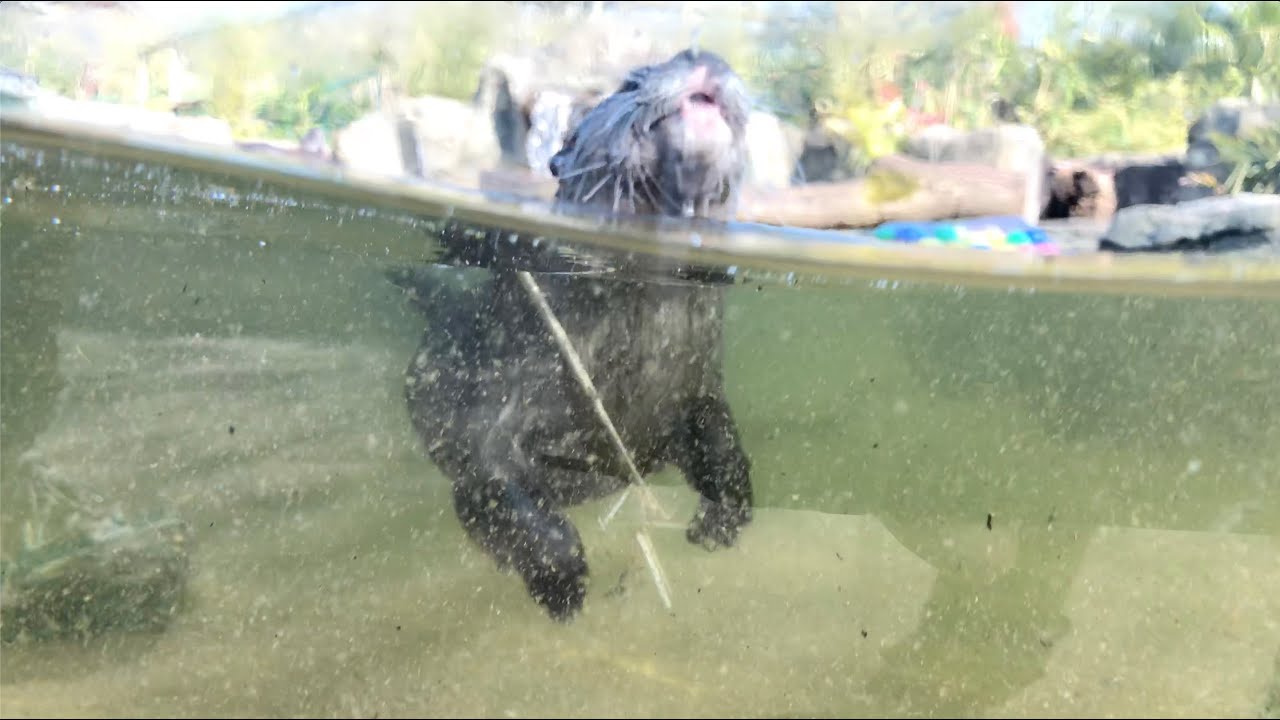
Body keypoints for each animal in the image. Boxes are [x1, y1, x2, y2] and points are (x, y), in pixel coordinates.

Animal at [398, 48, 755, 621]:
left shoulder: (695, 384)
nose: (700, 54)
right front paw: (562, 584)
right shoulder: (494, 403)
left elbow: (721, 441)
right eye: (629, 81)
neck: (627, 370)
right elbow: (496, 482)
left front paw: (720, 520)